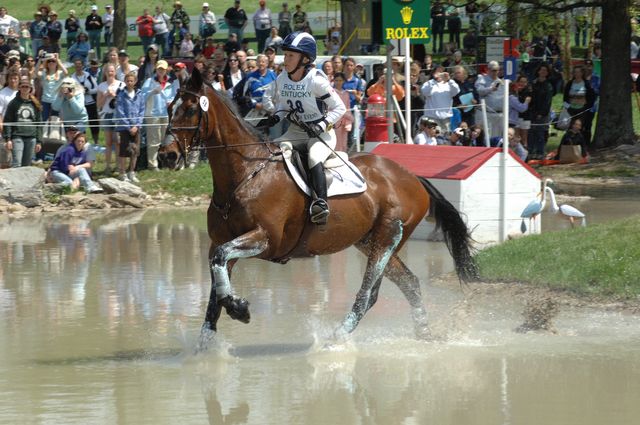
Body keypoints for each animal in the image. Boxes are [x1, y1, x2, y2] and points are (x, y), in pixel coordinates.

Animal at [170, 68, 480, 342]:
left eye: (189, 109)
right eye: (171, 106)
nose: (166, 155)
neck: (245, 174)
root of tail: (412, 177)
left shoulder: (265, 239)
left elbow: (221, 263)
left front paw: (239, 308)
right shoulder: (221, 241)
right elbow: (215, 285)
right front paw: (206, 348)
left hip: (386, 237)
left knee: (369, 293)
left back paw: (337, 338)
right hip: (371, 241)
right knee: (411, 284)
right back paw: (424, 334)